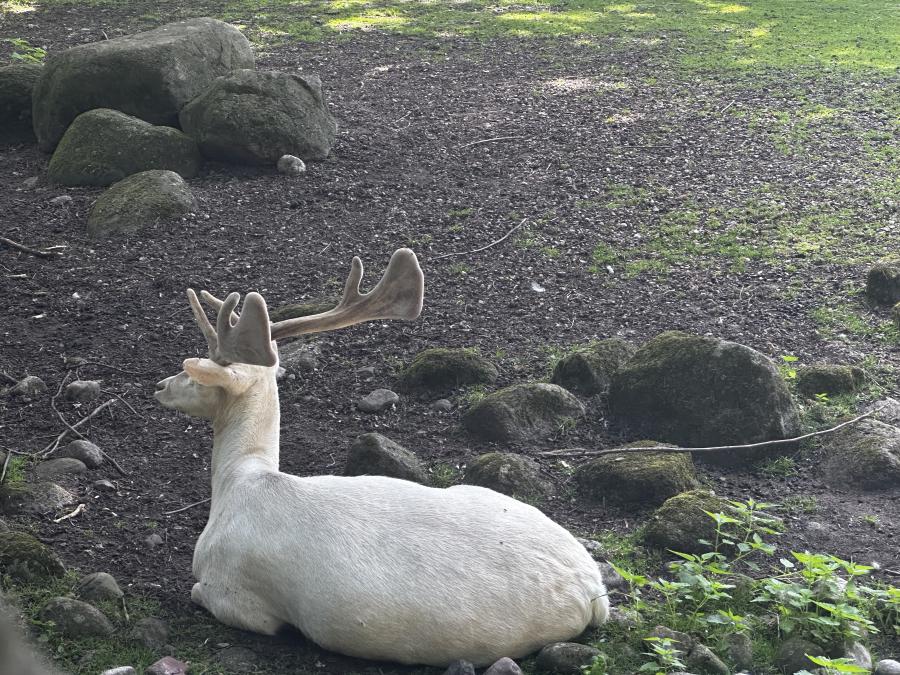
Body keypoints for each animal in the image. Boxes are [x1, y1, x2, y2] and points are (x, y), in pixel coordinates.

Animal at [153, 248, 609, 667]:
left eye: (194, 373)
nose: (160, 385)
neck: (239, 482)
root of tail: (594, 591)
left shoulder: (235, 594)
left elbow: (199, 592)